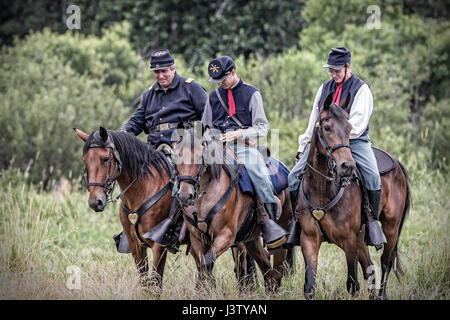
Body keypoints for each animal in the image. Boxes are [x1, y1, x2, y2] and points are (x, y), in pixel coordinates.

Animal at [74, 127, 174, 290]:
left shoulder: (159, 245)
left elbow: (155, 284)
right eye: (85, 160)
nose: (95, 202)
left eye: (106, 159)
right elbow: (144, 281)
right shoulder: (136, 245)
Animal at [171, 126, 294, 292]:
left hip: (279, 236)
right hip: (251, 239)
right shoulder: (196, 238)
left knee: (277, 265)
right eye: (176, 155)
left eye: (199, 155)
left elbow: (206, 264)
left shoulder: (226, 235)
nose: (185, 195)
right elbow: (202, 267)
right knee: (265, 263)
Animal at [296, 95, 412, 300]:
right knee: (370, 268)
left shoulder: (349, 241)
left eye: (350, 128)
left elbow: (353, 285)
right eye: (327, 127)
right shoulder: (309, 240)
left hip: (391, 227)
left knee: (385, 262)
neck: (322, 190)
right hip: (362, 238)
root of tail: (396, 163)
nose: (347, 166)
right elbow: (309, 286)